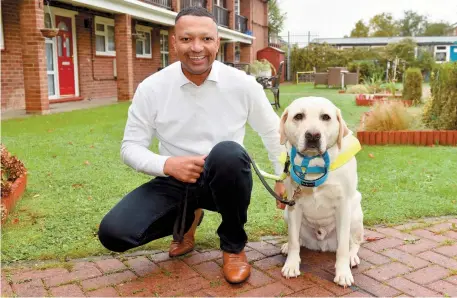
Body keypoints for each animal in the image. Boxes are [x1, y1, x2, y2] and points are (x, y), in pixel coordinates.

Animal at [278, 96, 364, 288]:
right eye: (298, 116)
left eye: (326, 117)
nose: (313, 135)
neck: (314, 165)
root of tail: (322, 245)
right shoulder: (294, 205)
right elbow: (294, 241)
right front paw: (292, 265)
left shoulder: (344, 206)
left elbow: (342, 248)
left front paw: (343, 273)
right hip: (287, 212)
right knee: (298, 239)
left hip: (355, 215)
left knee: (354, 242)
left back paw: (352, 256)